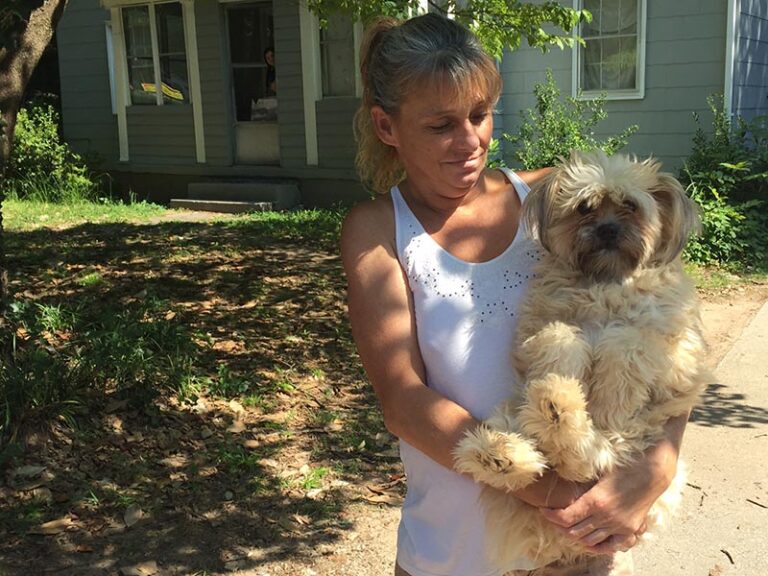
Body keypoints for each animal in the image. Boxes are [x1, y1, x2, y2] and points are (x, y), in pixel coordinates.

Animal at [452, 151, 712, 568]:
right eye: (584, 208)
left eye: (630, 206)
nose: (607, 230)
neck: (604, 283)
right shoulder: (539, 332)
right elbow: (561, 338)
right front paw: (565, 374)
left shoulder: (674, 354)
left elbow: (623, 341)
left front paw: (606, 404)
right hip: (513, 413)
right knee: (554, 455)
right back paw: (513, 441)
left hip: (651, 459)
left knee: (586, 459)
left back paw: (556, 415)